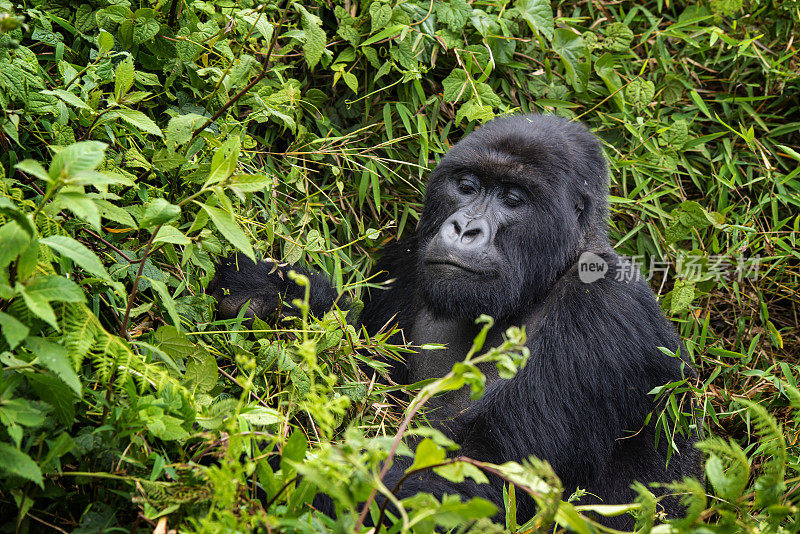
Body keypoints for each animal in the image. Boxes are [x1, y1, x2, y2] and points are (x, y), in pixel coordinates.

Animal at [211, 113, 700, 528]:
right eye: (467, 186)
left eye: (512, 199)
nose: (464, 229)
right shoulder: (408, 259)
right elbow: (359, 360)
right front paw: (275, 294)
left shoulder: (604, 307)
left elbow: (481, 482)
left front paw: (275, 467)